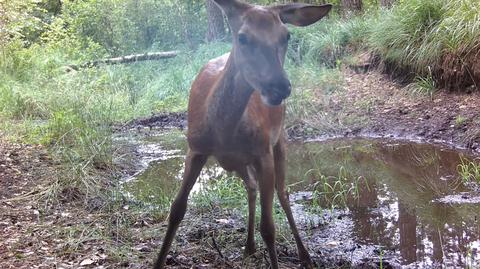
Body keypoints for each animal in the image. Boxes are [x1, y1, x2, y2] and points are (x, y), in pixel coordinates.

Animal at [156, 1, 332, 266]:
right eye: (242, 37)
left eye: (286, 35)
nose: (279, 86)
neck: (223, 132)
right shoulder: (195, 148)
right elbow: (177, 209)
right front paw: (158, 260)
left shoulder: (263, 152)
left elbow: (269, 227)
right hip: (238, 162)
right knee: (251, 187)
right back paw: (249, 246)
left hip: (279, 140)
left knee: (283, 193)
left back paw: (304, 254)